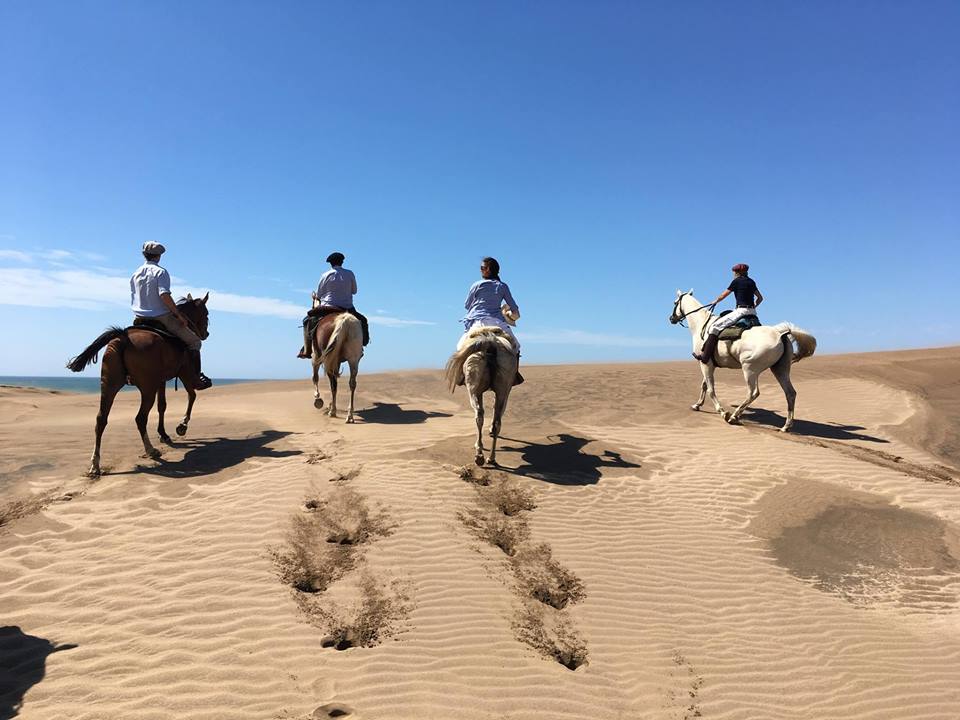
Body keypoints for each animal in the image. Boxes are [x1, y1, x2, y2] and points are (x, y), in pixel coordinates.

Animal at [67, 292, 210, 478]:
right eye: (206, 314)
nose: (206, 333)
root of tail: (123, 338)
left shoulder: (161, 381)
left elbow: (162, 406)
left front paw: (164, 434)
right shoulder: (184, 374)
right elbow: (192, 396)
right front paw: (182, 426)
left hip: (109, 386)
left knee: (101, 420)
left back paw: (95, 464)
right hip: (147, 389)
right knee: (140, 418)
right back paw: (150, 450)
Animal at [444, 326, 516, 466]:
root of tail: (491, 343)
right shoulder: (503, 392)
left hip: (474, 389)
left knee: (479, 415)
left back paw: (480, 454)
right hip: (502, 389)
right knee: (496, 420)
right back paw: (489, 457)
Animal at [668, 288, 816, 434]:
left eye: (675, 302)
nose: (671, 318)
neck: (702, 324)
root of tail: (781, 334)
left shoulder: (705, 364)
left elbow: (710, 389)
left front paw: (723, 412)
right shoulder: (708, 365)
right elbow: (704, 385)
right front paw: (697, 405)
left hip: (749, 370)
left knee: (753, 393)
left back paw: (734, 416)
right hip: (780, 369)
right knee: (790, 393)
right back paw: (786, 426)